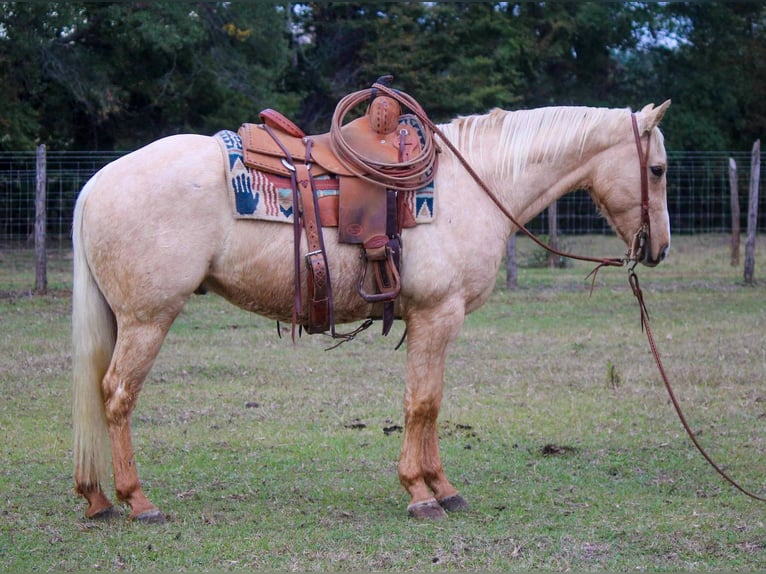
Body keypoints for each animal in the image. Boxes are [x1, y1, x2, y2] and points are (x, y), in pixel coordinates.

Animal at [73, 101, 672, 524]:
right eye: (659, 170)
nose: (659, 249)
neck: (472, 187)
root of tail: (96, 181)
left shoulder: (434, 321)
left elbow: (430, 403)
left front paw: (443, 489)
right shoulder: (436, 316)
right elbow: (422, 404)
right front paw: (421, 493)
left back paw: (97, 497)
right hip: (147, 319)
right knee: (118, 396)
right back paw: (138, 501)